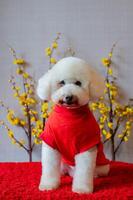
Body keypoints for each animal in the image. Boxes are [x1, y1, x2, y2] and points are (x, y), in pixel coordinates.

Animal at [37, 56, 109, 194]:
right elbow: (49, 167)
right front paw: (48, 185)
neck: (69, 116)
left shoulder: (86, 145)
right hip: (63, 163)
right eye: (62, 83)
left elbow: (84, 170)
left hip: (103, 166)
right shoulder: (51, 142)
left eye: (78, 83)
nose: (68, 97)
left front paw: (82, 189)